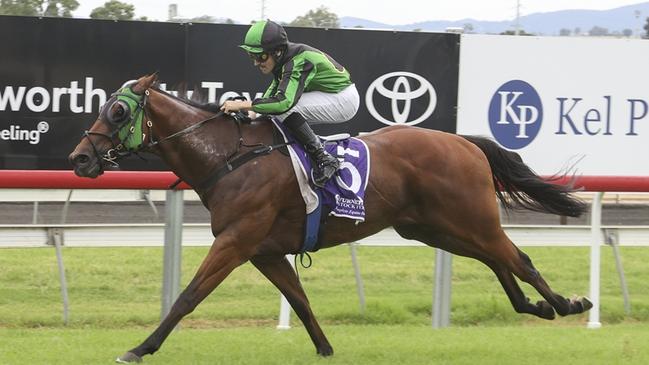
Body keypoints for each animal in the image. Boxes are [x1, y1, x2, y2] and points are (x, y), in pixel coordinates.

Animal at [68, 74, 588, 362]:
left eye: (118, 111)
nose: (80, 159)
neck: (230, 157)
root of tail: (463, 142)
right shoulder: (264, 251)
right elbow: (300, 301)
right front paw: (325, 349)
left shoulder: (236, 241)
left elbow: (187, 297)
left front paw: (139, 348)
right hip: (433, 228)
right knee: (497, 260)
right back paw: (536, 307)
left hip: (468, 219)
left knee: (517, 257)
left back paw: (566, 303)